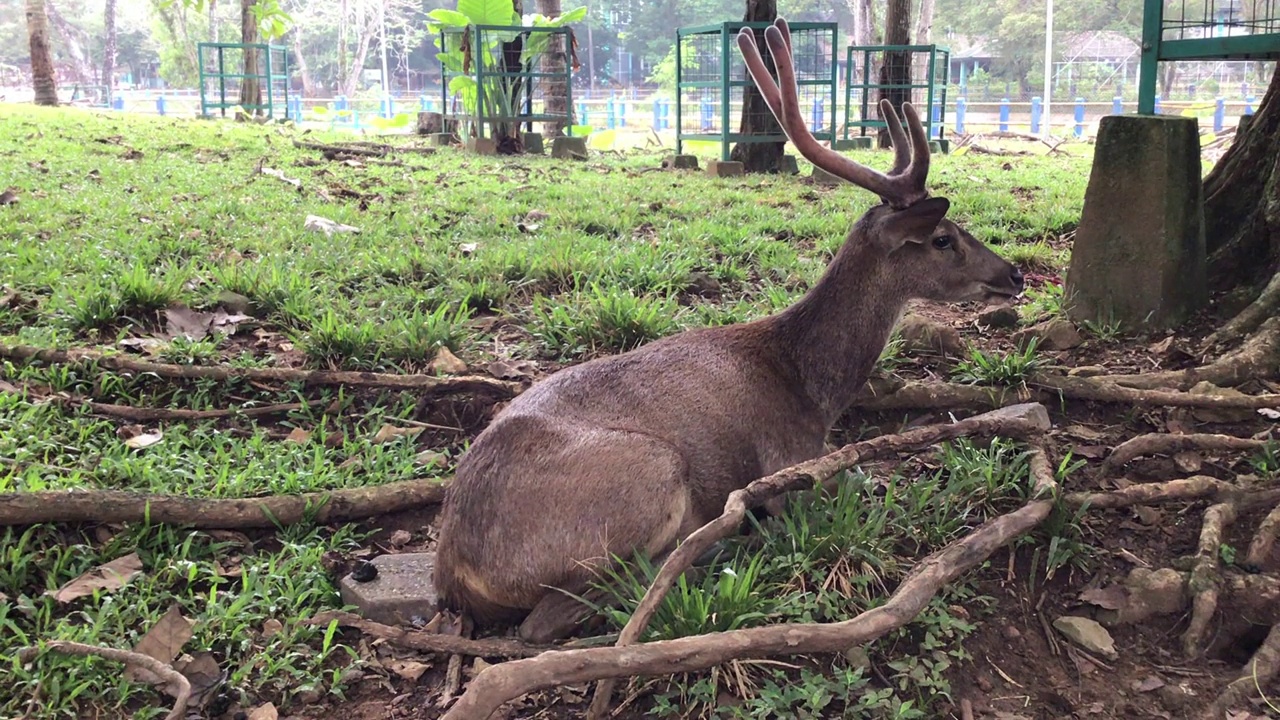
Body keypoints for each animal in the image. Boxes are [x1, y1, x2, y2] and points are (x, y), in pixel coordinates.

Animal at [435, 15, 1024, 638]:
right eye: (943, 239)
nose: (1014, 273)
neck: (810, 386)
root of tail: (455, 570)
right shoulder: (789, 462)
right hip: (648, 471)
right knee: (553, 617)